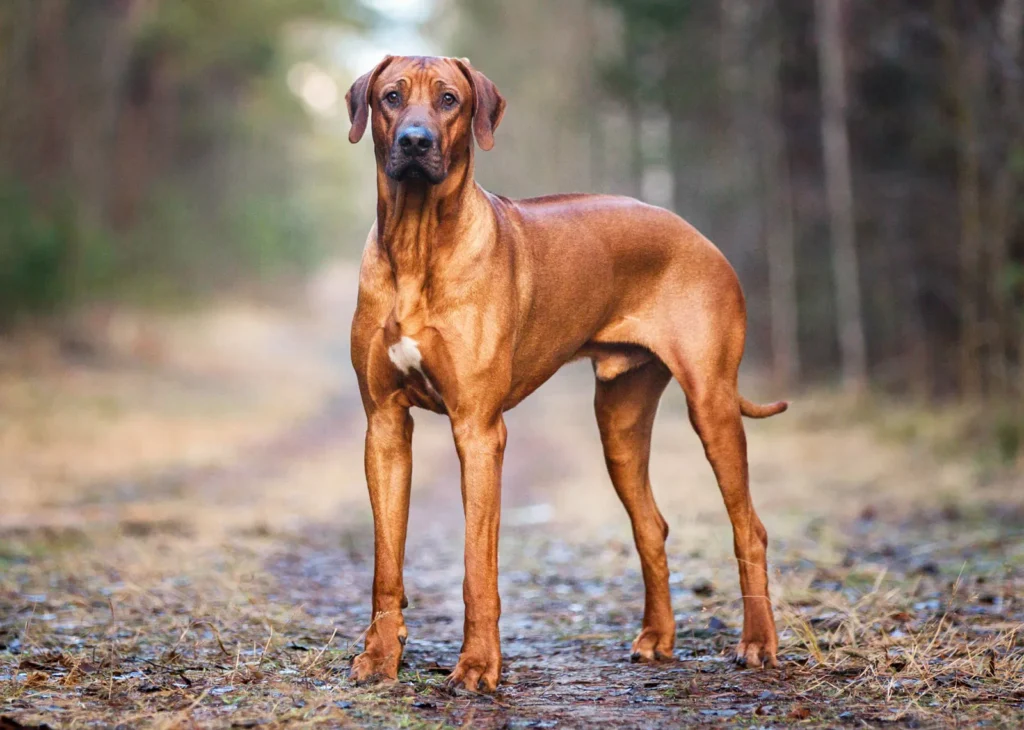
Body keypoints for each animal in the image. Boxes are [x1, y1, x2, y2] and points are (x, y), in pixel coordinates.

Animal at [348, 55, 786, 688]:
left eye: (450, 99)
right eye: (391, 96)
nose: (414, 140)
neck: (416, 243)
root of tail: (697, 234)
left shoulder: (479, 430)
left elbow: (477, 566)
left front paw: (477, 666)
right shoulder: (383, 426)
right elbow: (386, 563)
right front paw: (381, 656)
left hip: (712, 404)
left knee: (749, 527)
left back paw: (757, 643)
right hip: (619, 423)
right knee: (651, 525)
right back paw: (657, 638)